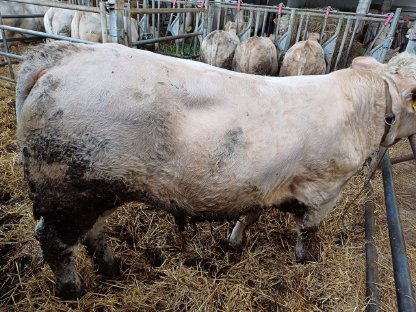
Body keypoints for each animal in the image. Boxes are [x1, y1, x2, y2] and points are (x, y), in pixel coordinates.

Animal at [15, 40, 416, 298]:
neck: (366, 109)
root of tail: (59, 56)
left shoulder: (263, 184)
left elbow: (249, 214)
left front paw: (234, 241)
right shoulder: (326, 190)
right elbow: (308, 230)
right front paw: (305, 260)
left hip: (97, 189)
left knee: (92, 232)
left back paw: (112, 268)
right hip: (68, 189)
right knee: (55, 241)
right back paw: (71, 291)